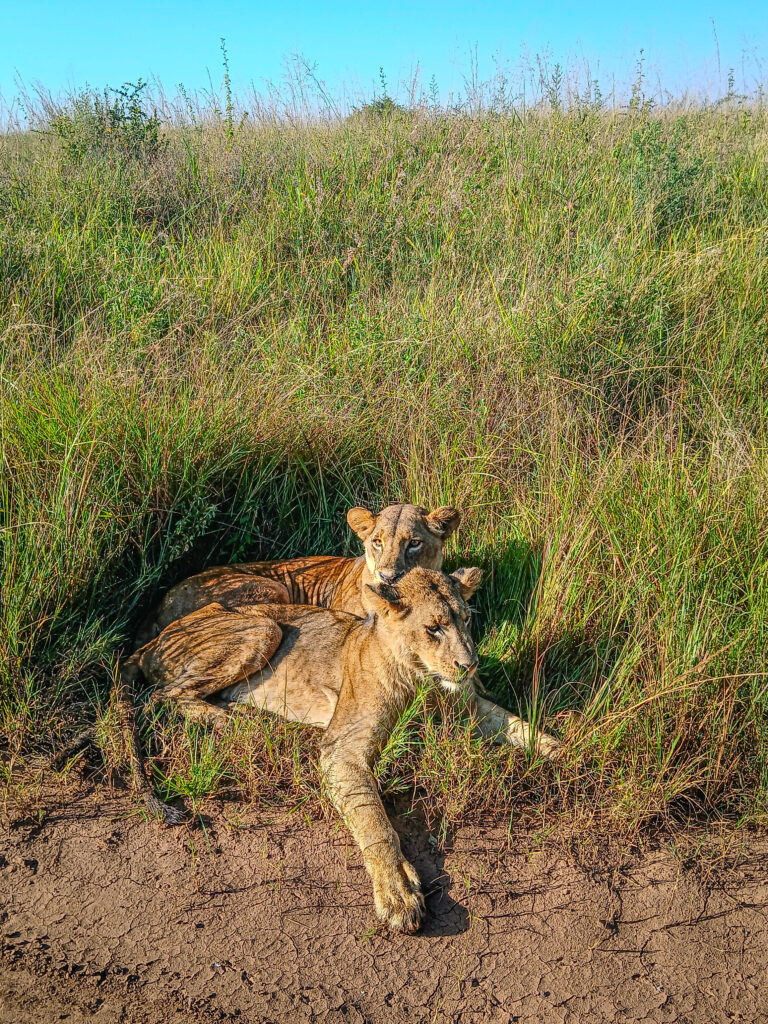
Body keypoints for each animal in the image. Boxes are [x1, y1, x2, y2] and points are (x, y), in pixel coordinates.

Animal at [119, 566, 560, 933]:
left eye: (467, 620)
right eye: (433, 628)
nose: (471, 665)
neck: (424, 679)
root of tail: (153, 638)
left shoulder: (471, 708)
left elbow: (520, 726)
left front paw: (563, 755)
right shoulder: (341, 748)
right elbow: (374, 820)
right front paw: (398, 894)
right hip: (263, 625)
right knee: (162, 695)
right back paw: (242, 722)